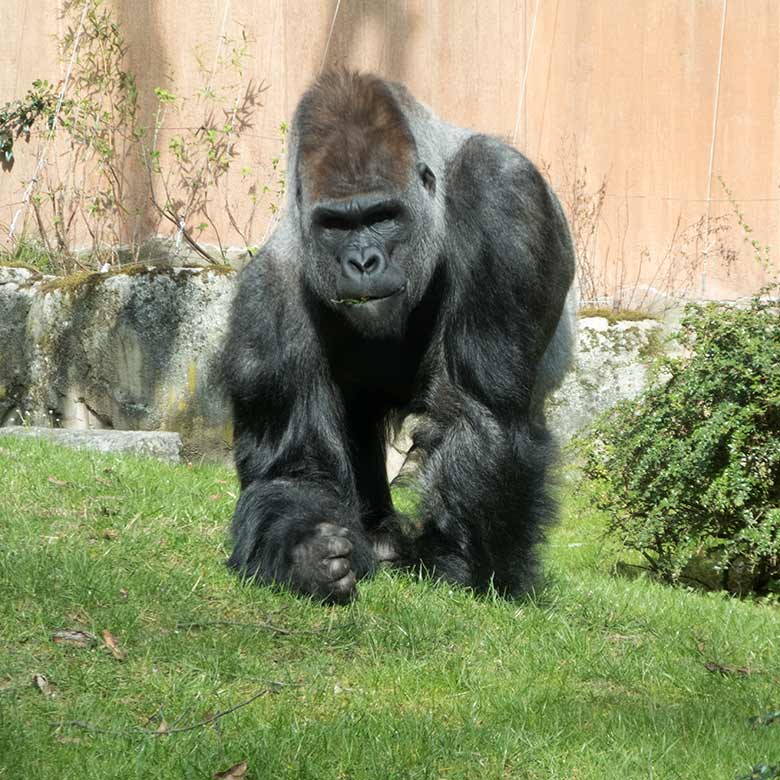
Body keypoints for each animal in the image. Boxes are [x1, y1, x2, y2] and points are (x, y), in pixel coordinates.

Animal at [222, 70, 576, 604]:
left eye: (382, 216)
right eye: (335, 224)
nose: (363, 262)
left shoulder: (503, 193)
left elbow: (479, 409)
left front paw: (466, 569)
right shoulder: (266, 297)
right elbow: (292, 471)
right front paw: (307, 555)